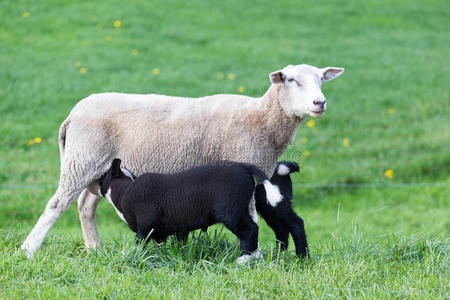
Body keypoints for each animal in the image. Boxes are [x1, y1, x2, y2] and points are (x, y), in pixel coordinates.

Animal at [99, 158, 284, 264]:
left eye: (103, 176)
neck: (124, 191)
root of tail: (244, 168)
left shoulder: (144, 228)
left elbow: (139, 246)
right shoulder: (167, 231)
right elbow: (168, 246)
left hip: (231, 211)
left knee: (249, 230)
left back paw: (243, 259)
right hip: (247, 208)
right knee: (254, 229)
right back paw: (255, 258)